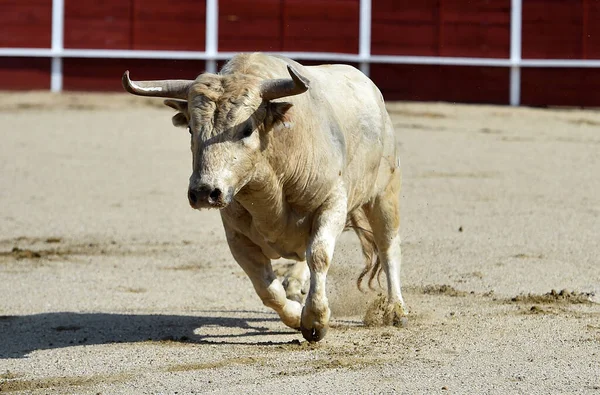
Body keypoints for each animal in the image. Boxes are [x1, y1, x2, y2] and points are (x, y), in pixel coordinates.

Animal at [120, 53, 408, 344]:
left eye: (247, 129)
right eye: (191, 128)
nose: (204, 192)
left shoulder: (332, 203)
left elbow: (319, 255)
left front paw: (316, 320)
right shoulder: (237, 238)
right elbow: (267, 289)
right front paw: (297, 315)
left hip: (385, 194)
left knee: (388, 247)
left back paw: (395, 309)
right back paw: (295, 285)